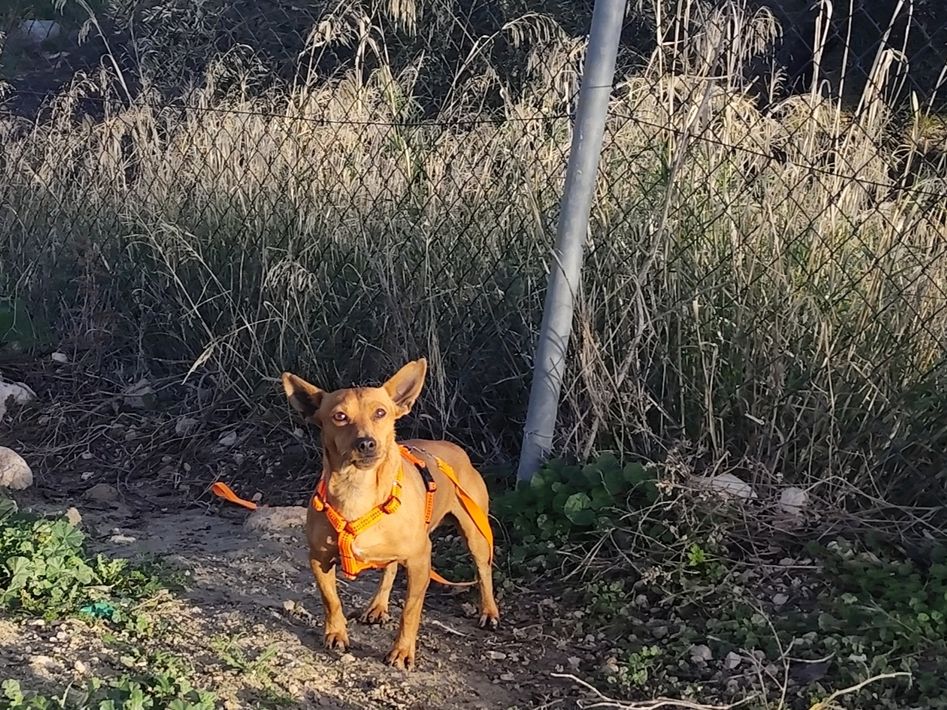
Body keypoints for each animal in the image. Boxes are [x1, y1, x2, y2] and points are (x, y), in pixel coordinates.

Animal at [281, 358, 499, 669]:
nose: (366, 443)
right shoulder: (319, 559)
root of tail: (453, 447)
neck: (356, 488)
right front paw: (336, 633)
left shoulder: (420, 562)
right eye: (339, 416)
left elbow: (410, 612)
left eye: (381, 412)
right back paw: (377, 606)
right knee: (390, 568)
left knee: (483, 570)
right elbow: (331, 600)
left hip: (475, 535)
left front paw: (402, 652)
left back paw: (489, 611)